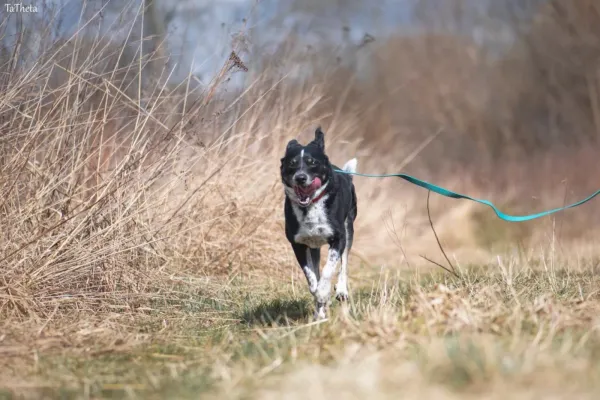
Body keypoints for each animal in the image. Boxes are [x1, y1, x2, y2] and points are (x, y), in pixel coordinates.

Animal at [280, 126, 358, 320]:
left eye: (311, 162)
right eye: (292, 163)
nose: (300, 177)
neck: (311, 205)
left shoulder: (338, 239)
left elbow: (329, 269)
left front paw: (324, 293)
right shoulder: (298, 244)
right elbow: (311, 276)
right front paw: (319, 299)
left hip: (349, 228)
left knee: (344, 263)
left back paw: (341, 291)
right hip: (314, 247)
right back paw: (319, 313)